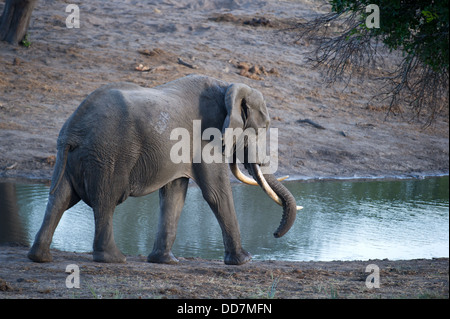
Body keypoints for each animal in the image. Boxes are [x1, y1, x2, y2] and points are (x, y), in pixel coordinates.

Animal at [29, 74, 300, 264]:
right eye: (262, 128)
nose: (275, 234)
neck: (227, 87)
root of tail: (74, 127)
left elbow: (174, 195)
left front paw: (165, 261)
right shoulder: (206, 137)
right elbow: (216, 192)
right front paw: (244, 260)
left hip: (70, 155)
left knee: (60, 198)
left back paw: (39, 257)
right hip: (108, 153)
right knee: (106, 199)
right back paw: (114, 259)